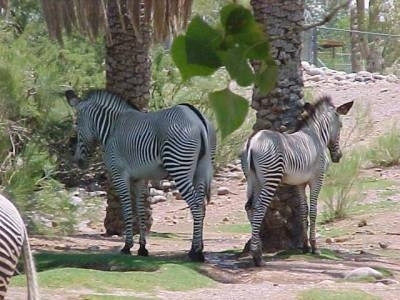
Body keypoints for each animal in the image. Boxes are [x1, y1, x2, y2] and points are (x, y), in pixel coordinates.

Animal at [65, 89, 216, 262]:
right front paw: (142, 248)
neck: (112, 128)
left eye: (77, 125)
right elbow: (141, 210)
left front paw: (127, 246)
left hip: (179, 166)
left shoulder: (119, 174)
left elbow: (127, 209)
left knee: (196, 205)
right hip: (202, 169)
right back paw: (197, 248)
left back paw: (195, 253)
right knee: (202, 205)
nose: (78, 162)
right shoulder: (140, 178)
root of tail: (197, 118)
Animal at [242, 95, 352, 266]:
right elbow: (313, 211)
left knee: (249, 207)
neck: (316, 136)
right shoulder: (317, 179)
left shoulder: (300, 183)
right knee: (259, 208)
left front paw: (305, 246)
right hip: (270, 178)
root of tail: (252, 142)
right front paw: (314, 247)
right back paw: (257, 256)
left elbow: (303, 210)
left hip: (253, 180)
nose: (338, 157)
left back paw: (258, 249)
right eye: (340, 126)